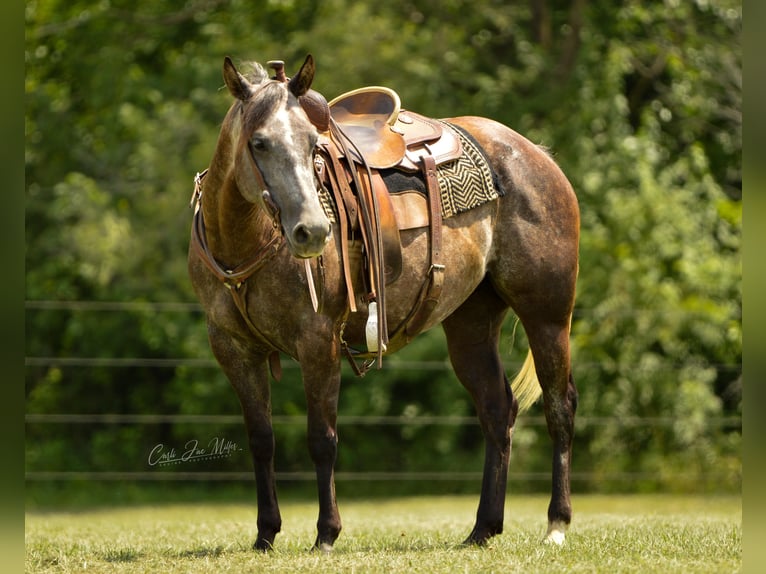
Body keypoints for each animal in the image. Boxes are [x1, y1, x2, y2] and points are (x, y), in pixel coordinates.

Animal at [189, 55, 580, 552]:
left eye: (313, 145)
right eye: (259, 142)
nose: (313, 232)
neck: (245, 242)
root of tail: (537, 155)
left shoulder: (318, 341)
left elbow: (322, 438)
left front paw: (326, 534)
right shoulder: (234, 348)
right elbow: (261, 439)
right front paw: (265, 535)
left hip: (548, 315)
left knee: (559, 406)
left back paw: (557, 524)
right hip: (471, 322)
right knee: (497, 410)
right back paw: (482, 528)